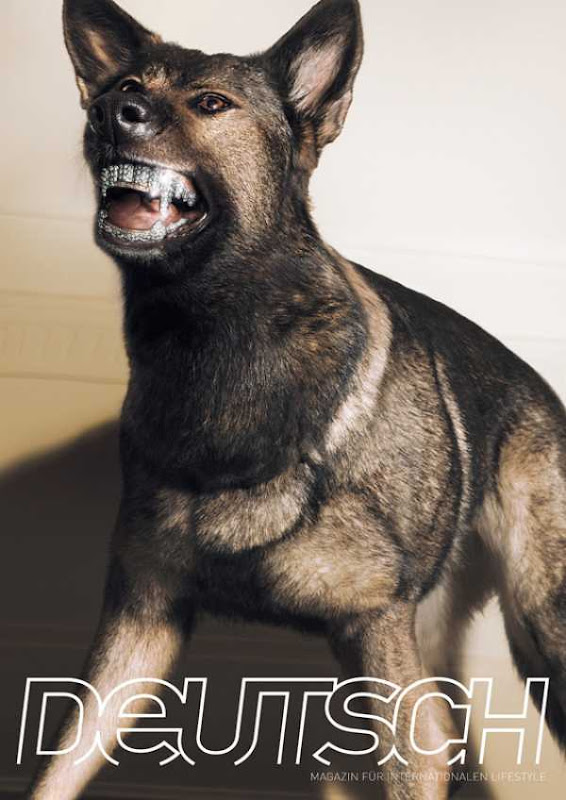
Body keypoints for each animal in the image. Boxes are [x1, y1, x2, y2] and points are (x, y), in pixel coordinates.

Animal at [28, 0, 566, 797]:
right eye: (125, 86)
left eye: (211, 104)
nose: (109, 115)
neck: (217, 345)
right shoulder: (139, 624)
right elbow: (60, 765)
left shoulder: (380, 638)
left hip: (539, 627)